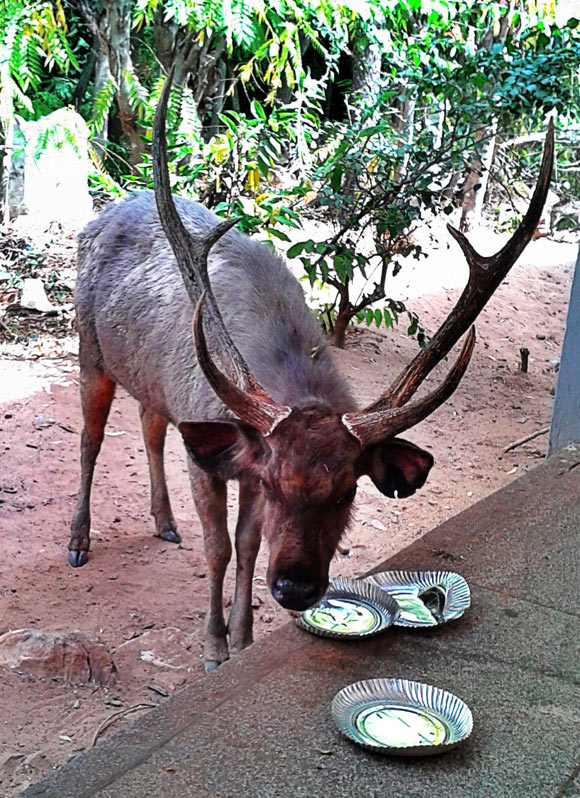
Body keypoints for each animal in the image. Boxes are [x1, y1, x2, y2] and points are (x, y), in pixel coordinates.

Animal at [69, 70, 554, 672]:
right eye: (275, 483)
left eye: (348, 491)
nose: (296, 587)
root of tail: (102, 213)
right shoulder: (216, 453)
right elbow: (219, 548)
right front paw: (213, 649)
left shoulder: (235, 454)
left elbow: (248, 546)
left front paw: (244, 638)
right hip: (89, 346)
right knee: (90, 439)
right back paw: (79, 541)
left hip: (149, 379)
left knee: (150, 424)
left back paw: (164, 522)